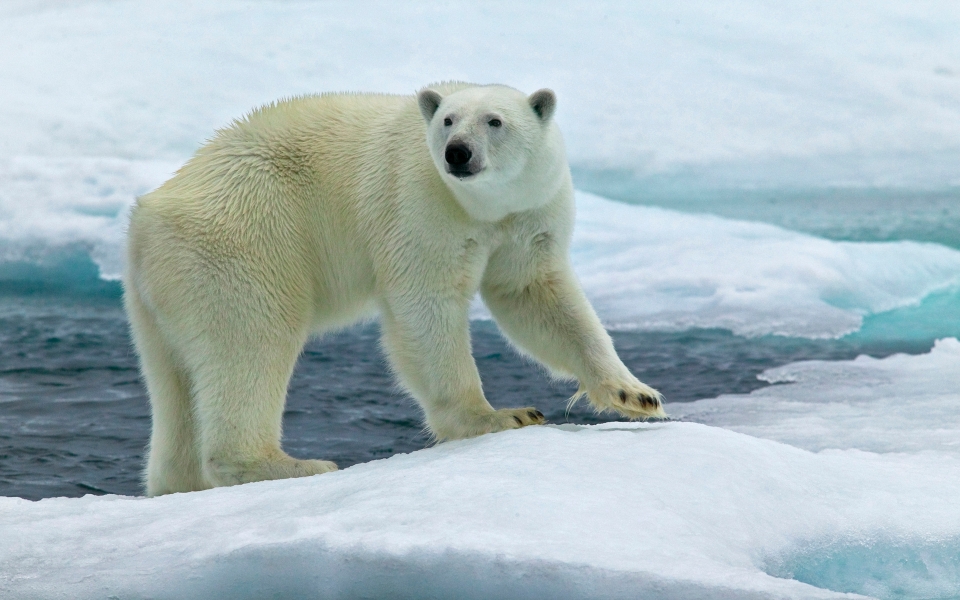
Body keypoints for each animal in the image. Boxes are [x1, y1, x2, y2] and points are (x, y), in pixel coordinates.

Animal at [124, 83, 664, 496]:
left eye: (494, 121)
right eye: (448, 120)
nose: (457, 153)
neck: (482, 208)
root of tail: (146, 219)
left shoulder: (527, 215)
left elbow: (536, 295)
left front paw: (635, 394)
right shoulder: (418, 201)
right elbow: (426, 303)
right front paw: (502, 416)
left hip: (159, 297)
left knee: (175, 382)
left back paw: (177, 483)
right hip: (246, 240)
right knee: (253, 341)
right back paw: (290, 464)